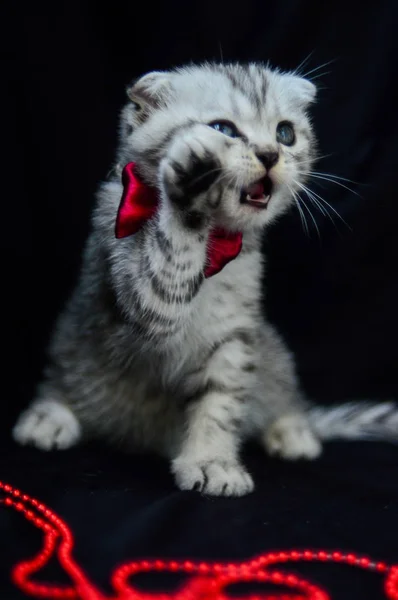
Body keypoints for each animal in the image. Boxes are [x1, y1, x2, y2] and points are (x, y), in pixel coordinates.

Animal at [13, 62, 398, 496]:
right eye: (223, 129)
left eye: (285, 133)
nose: (269, 154)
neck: (216, 249)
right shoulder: (131, 288)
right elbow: (167, 270)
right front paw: (193, 183)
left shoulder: (234, 334)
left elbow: (222, 400)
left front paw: (212, 461)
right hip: (74, 345)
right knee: (62, 376)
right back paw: (50, 415)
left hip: (270, 349)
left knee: (282, 389)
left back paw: (292, 429)